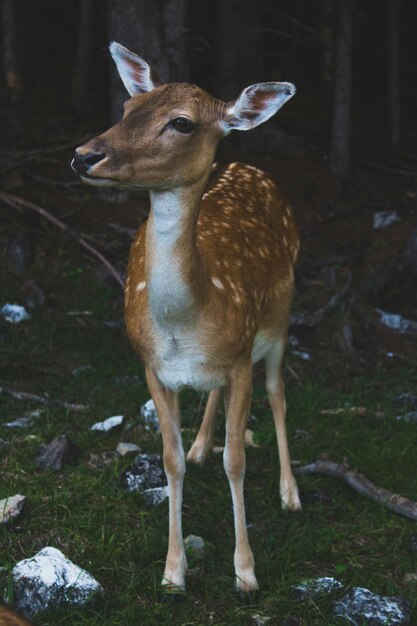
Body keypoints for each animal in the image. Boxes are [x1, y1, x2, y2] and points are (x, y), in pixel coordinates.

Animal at [70, 42, 300, 588]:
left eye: (181, 123)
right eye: (128, 107)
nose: (85, 155)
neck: (187, 322)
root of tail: (252, 169)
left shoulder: (240, 356)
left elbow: (236, 460)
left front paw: (245, 572)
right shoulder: (153, 367)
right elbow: (169, 461)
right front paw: (174, 571)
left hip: (280, 319)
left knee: (278, 392)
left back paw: (290, 493)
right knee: (218, 396)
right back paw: (200, 446)